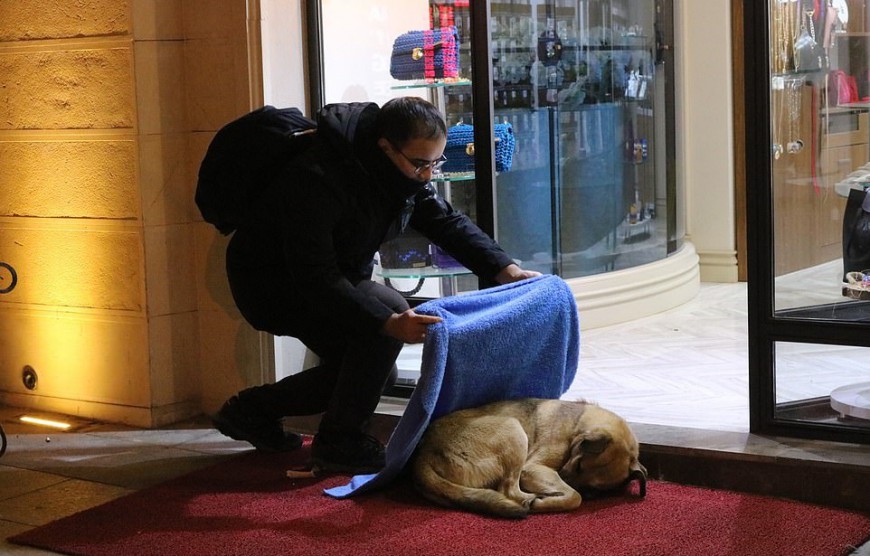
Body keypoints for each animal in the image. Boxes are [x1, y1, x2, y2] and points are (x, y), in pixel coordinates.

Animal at [414, 398, 648, 520]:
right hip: (513, 430)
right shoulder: (533, 468)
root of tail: (423, 454)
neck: (577, 426)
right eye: (579, 465)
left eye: (594, 491)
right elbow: (575, 497)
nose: (563, 478)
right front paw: (548, 500)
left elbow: (576, 494)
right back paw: (532, 500)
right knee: (508, 489)